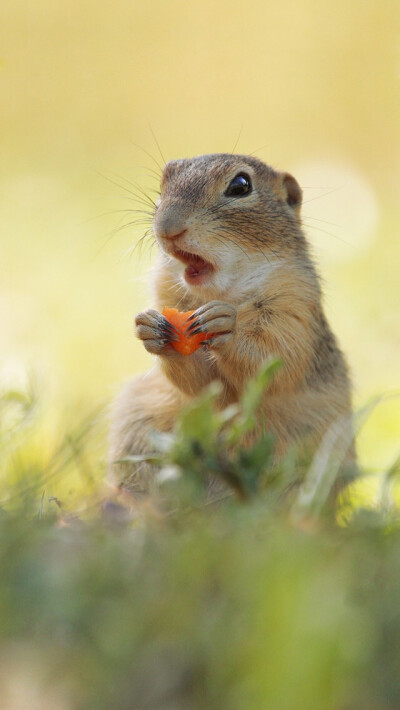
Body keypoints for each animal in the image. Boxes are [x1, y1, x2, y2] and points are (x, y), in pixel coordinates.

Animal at [108, 153, 354, 496]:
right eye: (164, 180)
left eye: (240, 185)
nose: (168, 228)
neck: (223, 293)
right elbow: (201, 385)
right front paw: (149, 328)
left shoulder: (294, 307)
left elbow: (277, 359)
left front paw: (226, 325)